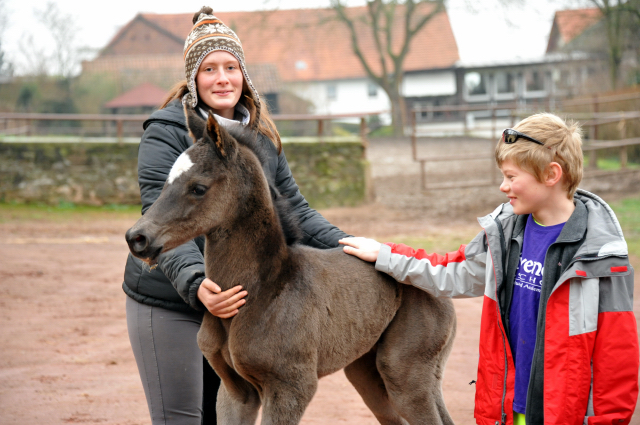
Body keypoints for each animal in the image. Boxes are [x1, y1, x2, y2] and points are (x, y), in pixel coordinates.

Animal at [125, 109, 458, 424]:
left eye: (198, 188)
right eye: (165, 181)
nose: (137, 238)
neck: (261, 290)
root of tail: (433, 275)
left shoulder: (290, 387)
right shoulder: (235, 391)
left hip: (405, 374)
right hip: (366, 372)